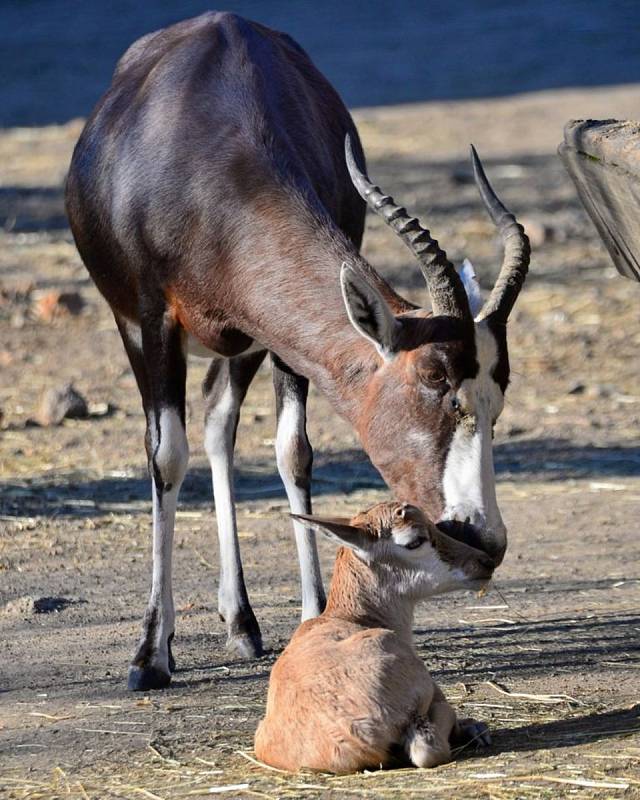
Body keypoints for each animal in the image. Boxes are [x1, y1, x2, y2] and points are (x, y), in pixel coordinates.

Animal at [66, 10, 528, 692]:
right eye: (437, 382)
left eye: (498, 398)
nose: (486, 539)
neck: (206, 141)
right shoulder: (150, 322)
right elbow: (165, 456)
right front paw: (149, 656)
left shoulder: (285, 343)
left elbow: (295, 453)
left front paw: (315, 617)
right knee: (192, 437)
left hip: (246, 342)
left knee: (219, 422)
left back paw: (242, 622)